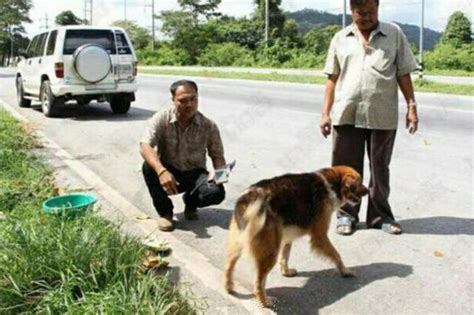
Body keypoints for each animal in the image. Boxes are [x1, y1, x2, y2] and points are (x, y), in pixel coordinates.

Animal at [224, 168, 368, 308]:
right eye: (359, 183)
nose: (368, 191)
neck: (331, 185)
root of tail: (250, 196)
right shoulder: (320, 236)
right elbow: (336, 255)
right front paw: (344, 271)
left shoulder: (286, 238)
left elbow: (285, 257)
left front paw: (286, 272)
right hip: (270, 252)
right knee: (258, 282)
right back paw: (264, 302)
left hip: (239, 244)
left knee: (229, 265)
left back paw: (228, 287)